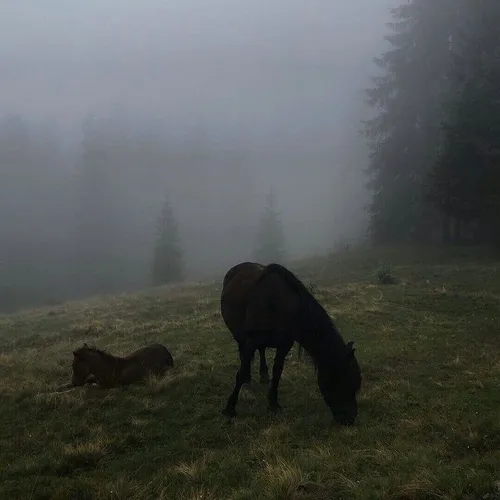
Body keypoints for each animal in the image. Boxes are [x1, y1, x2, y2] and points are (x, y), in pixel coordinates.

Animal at [221, 262, 362, 426]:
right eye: (344, 379)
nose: (350, 418)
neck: (278, 304)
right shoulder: (252, 340)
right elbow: (241, 372)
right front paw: (229, 409)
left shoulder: (284, 345)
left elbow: (277, 372)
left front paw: (273, 404)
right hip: (240, 335)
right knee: (243, 351)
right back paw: (248, 382)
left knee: (261, 350)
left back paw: (263, 375)